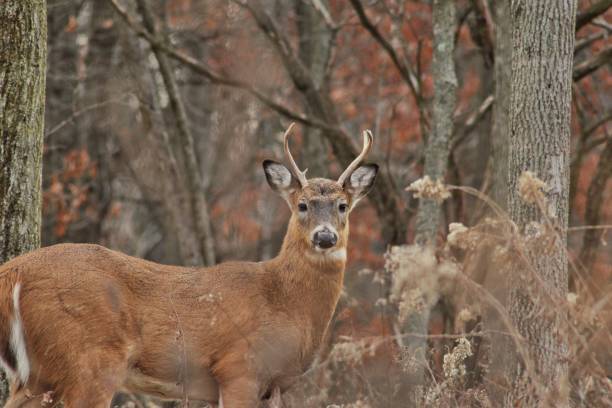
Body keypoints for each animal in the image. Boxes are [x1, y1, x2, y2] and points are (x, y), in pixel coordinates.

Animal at [0, 124, 378, 408]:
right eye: (302, 205)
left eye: (342, 206)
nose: (325, 236)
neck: (285, 302)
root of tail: (14, 271)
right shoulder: (238, 365)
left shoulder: (270, 388)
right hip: (89, 361)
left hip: (37, 376)